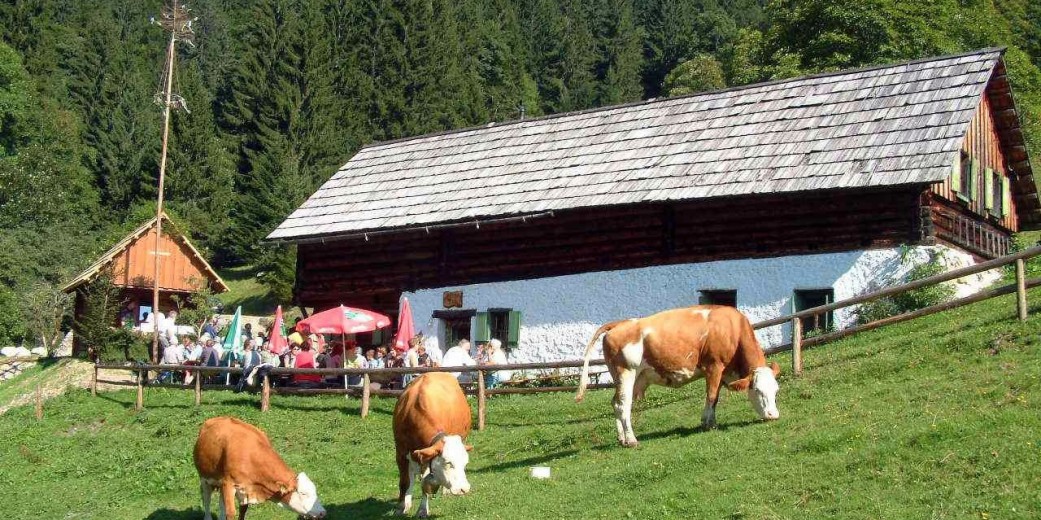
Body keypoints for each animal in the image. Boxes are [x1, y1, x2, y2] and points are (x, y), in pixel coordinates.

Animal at [193, 416, 324, 520]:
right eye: (303, 493)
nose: (323, 512)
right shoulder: (228, 484)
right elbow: (230, 513)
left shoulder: (244, 489)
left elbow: (242, 510)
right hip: (204, 478)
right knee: (207, 499)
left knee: (221, 504)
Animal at [391, 374, 474, 515]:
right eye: (448, 462)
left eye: (465, 464)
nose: (464, 489)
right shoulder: (401, 452)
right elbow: (405, 482)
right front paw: (401, 506)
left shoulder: (427, 455)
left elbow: (425, 483)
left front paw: (422, 510)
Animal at [578, 303, 782, 447]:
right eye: (757, 390)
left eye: (776, 391)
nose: (773, 415)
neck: (732, 329)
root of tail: (620, 324)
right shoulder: (714, 367)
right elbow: (712, 396)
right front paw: (708, 424)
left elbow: (714, 397)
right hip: (626, 373)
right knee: (623, 405)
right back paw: (631, 440)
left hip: (626, 378)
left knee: (615, 403)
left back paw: (621, 438)